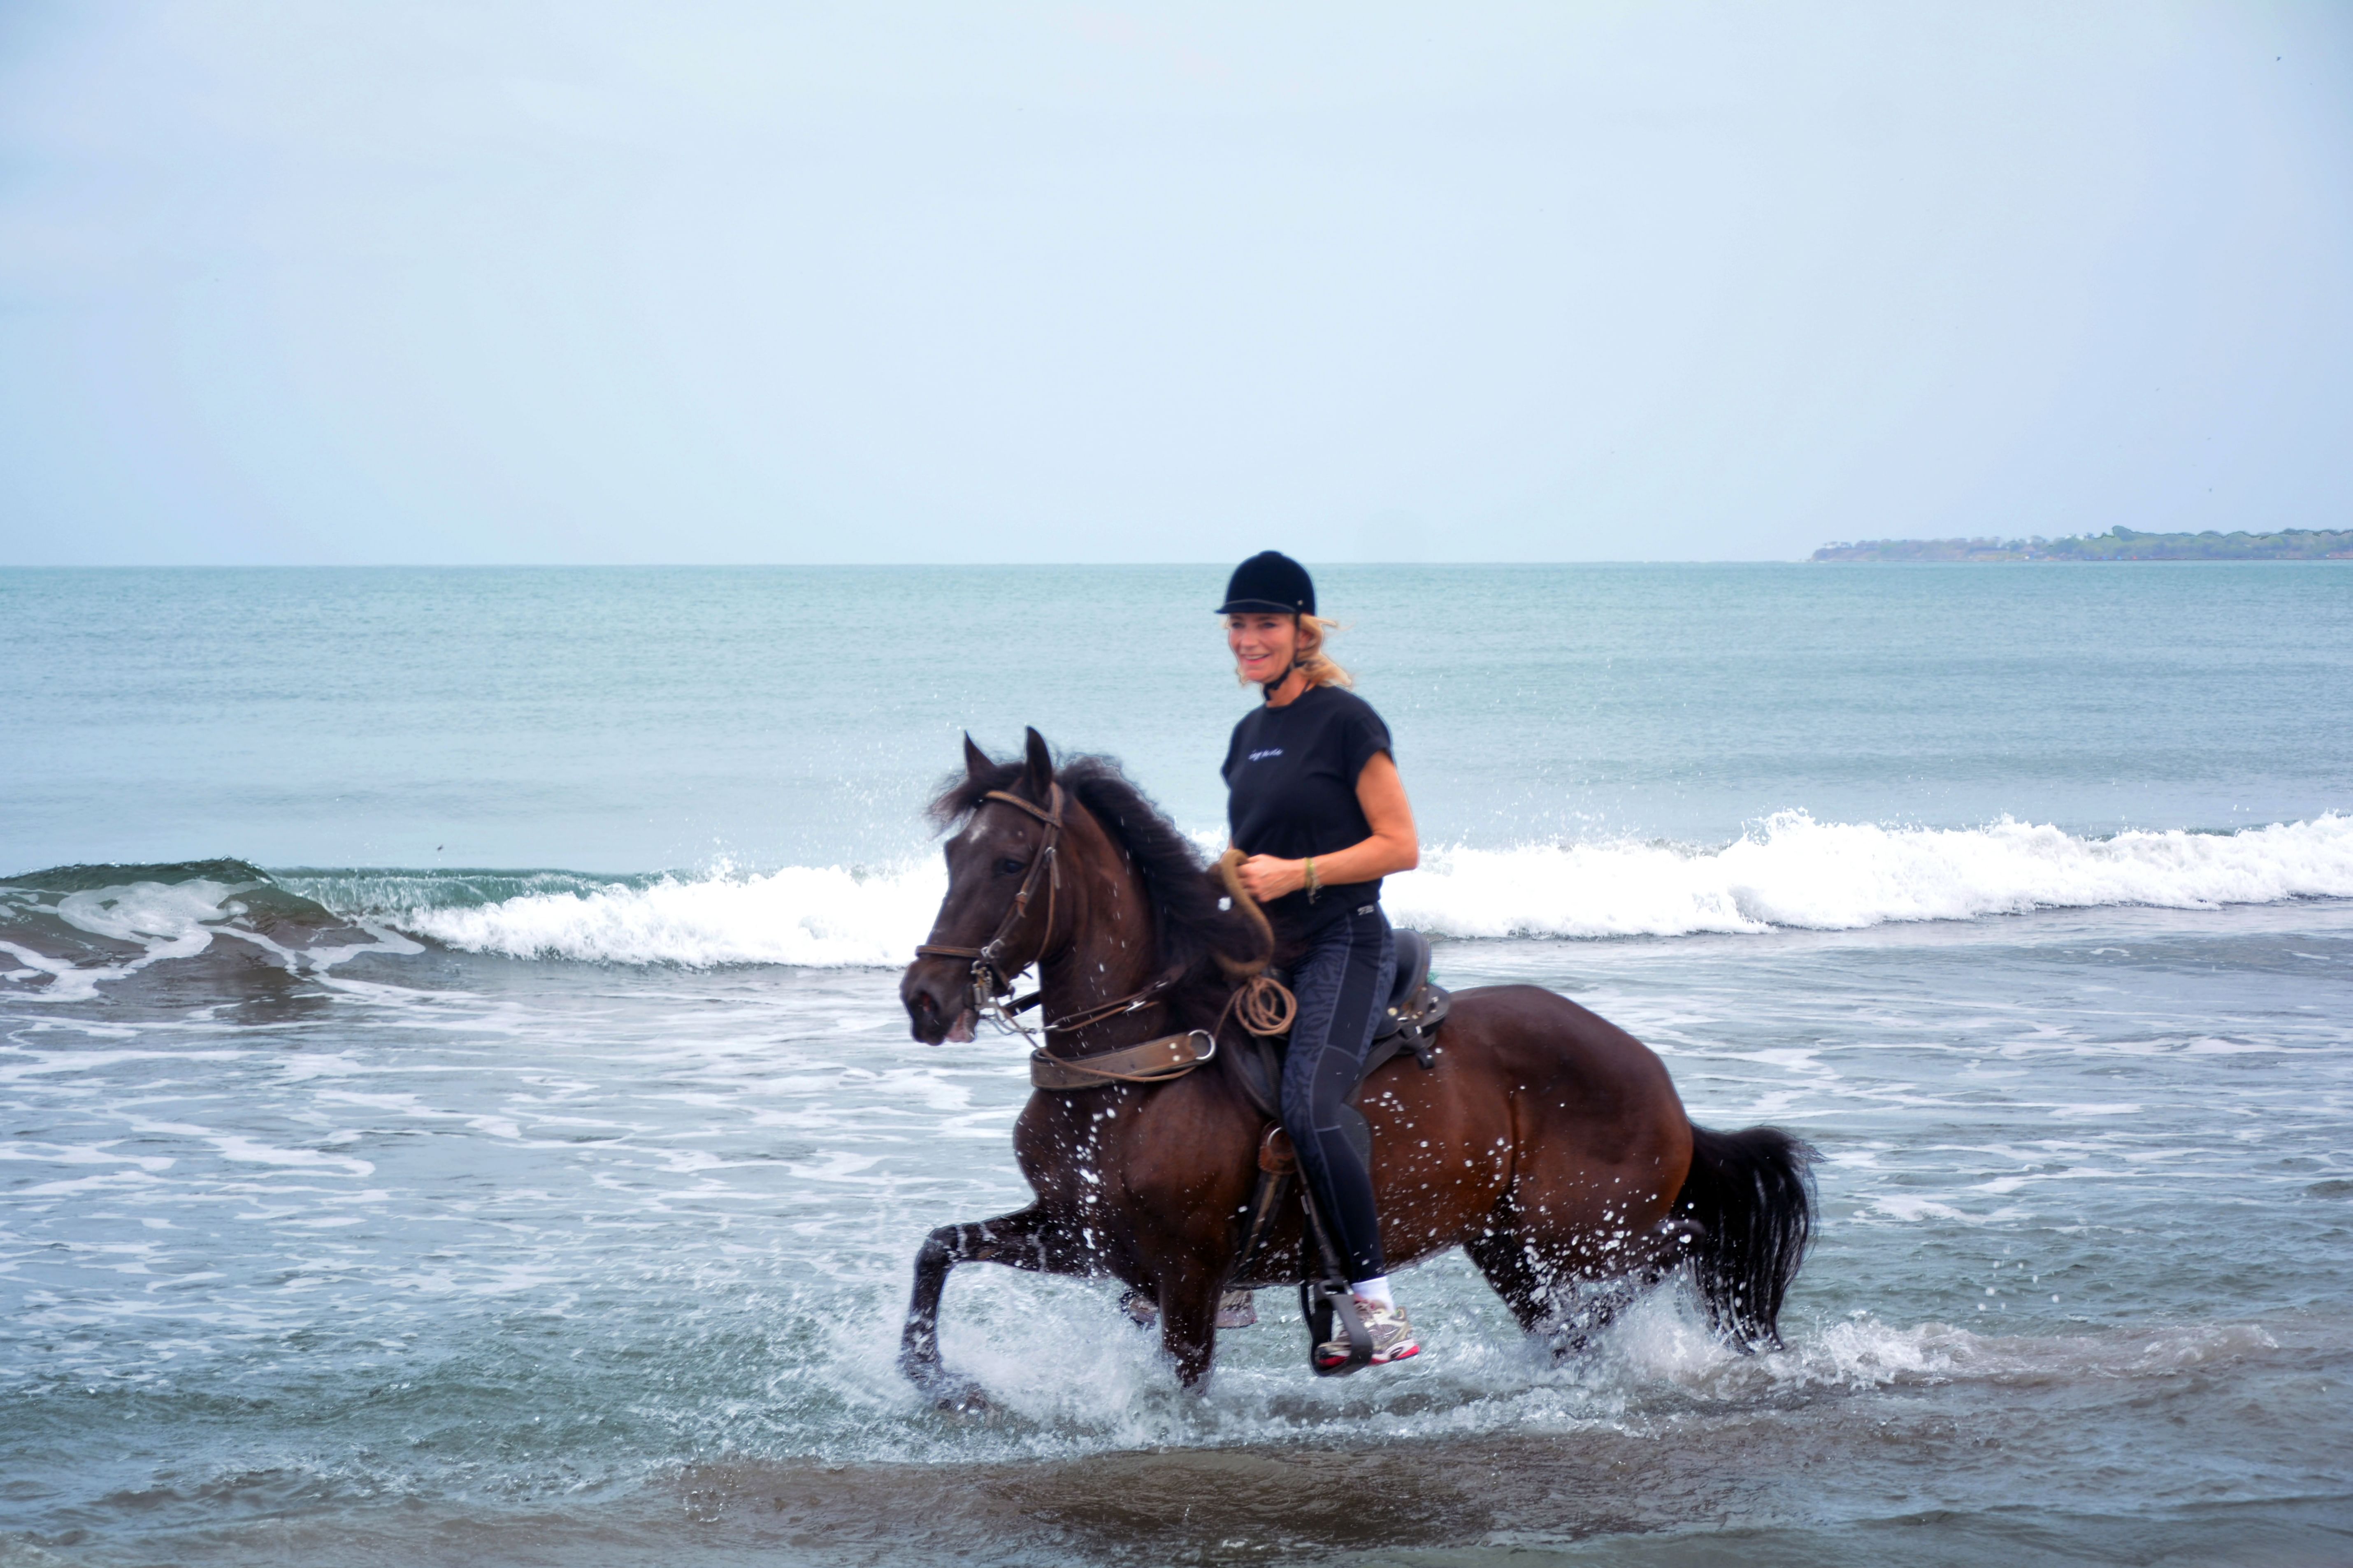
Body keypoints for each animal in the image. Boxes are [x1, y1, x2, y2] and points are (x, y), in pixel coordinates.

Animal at [897, 729, 1814, 1398]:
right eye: (949, 858)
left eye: (1010, 861)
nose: (924, 999)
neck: (1128, 1068)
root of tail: (1654, 1075)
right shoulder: (1082, 1234)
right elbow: (938, 1247)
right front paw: (928, 1371)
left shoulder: (1186, 1272)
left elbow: (1184, 1384)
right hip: (1502, 1240)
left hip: (1584, 1230)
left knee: (1682, 1240)